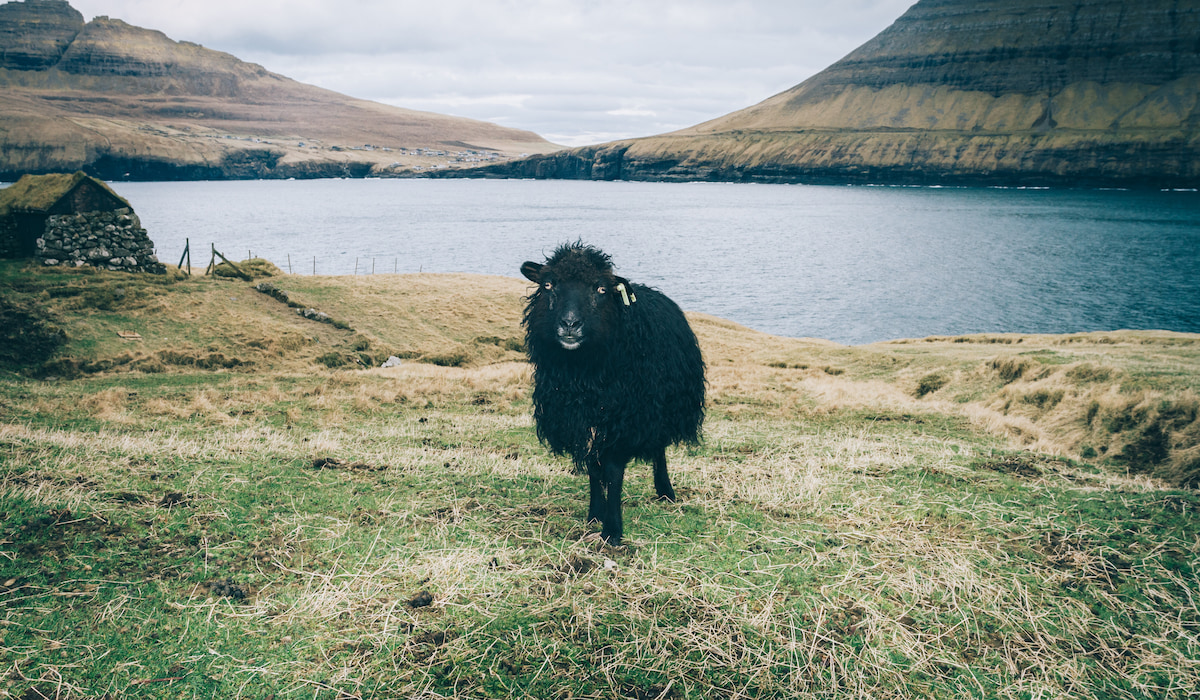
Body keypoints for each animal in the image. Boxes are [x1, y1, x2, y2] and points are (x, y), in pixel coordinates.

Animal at [520, 242, 705, 545]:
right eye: (549, 284)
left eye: (600, 289)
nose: (570, 324)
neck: (582, 374)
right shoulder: (584, 422)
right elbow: (594, 470)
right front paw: (595, 513)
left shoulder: (624, 419)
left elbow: (613, 471)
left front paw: (612, 530)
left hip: (660, 408)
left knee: (659, 449)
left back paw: (665, 490)